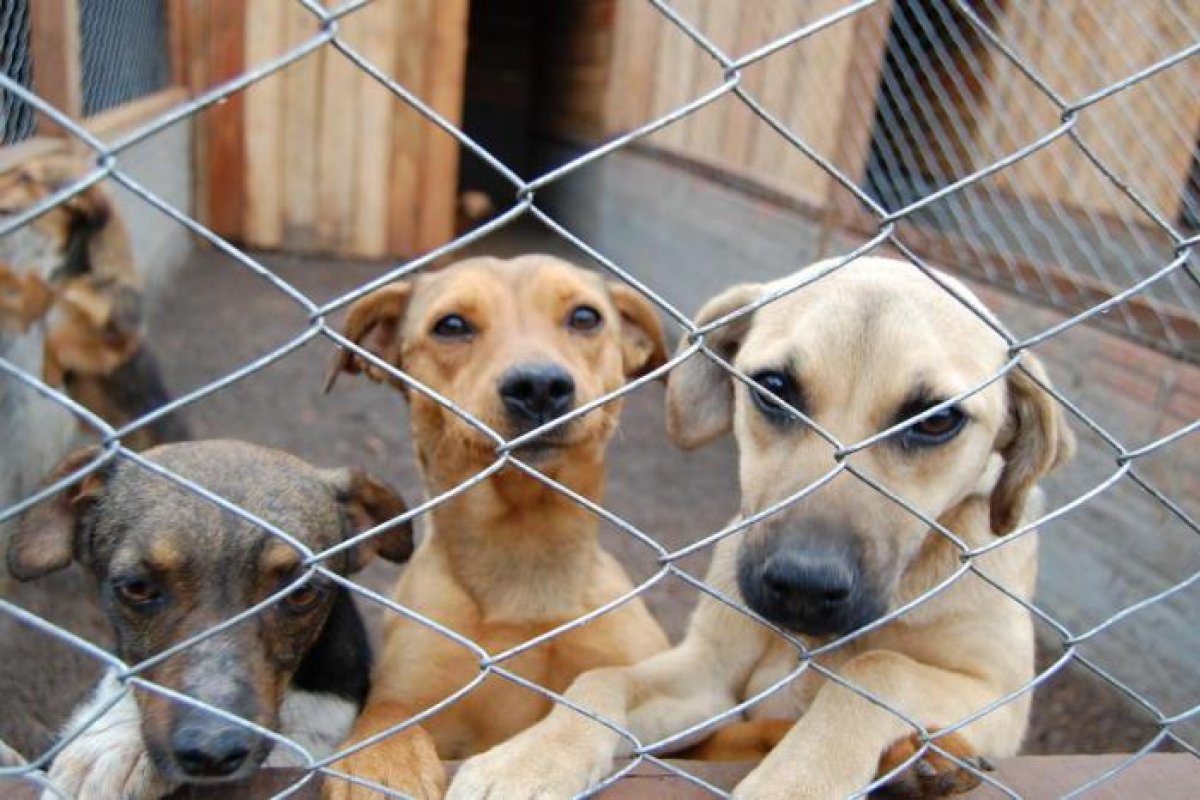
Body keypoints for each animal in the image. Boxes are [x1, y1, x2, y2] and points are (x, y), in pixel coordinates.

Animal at [319, 253, 676, 796]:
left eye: (585, 317)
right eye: (451, 325)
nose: (539, 386)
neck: (524, 554)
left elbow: (599, 686)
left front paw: (541, 759)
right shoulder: (410, 685)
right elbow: (386, 712)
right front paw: (379, 763)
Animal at [451, 256, 1080, 800]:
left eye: (938, 420)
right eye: (774, 387)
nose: (802, 585)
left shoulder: (1000, 698)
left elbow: (879, 668)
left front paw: (799, 779)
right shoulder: (706, 678)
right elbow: (603, 679)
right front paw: (537, 756)